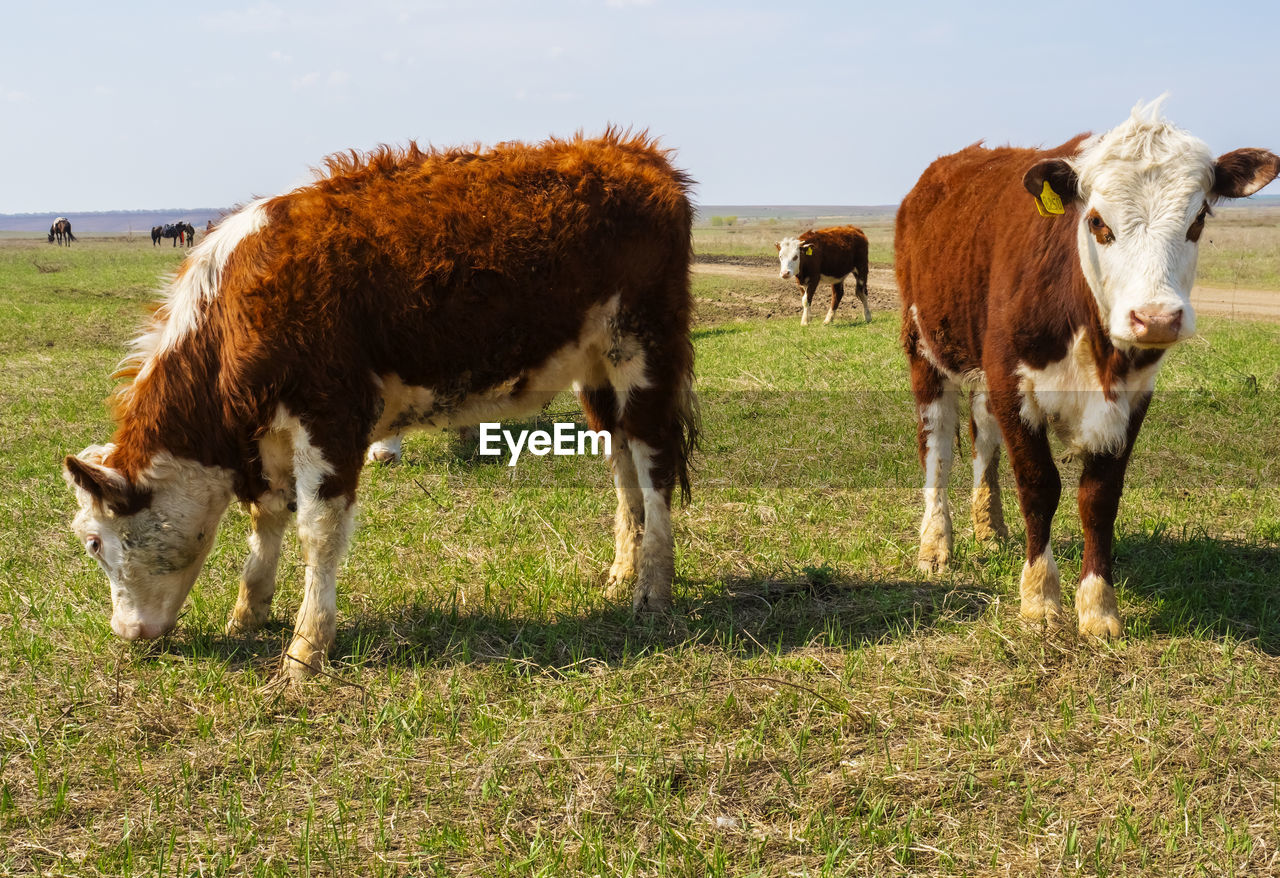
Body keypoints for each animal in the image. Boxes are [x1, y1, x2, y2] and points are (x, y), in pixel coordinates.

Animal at [62, 130, 701, 680]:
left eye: (95, 542)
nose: (126, 632)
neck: (236, 306)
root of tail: (635, 155)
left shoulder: (331, 418)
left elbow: (318, 532)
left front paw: (305, 649)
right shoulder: (268, 436)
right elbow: (265, 520)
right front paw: (248, 612)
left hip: (642, 352)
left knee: (654, 465)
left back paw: (654, 587)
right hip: (596, 373)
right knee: (623, 467)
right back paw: (623, 572)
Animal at [901, 101, 1280, 639]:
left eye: (1198, 220)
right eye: (1098, 222)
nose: (1156, 318)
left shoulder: (1131, 396)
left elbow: (1099, 498)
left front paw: (1098, 607)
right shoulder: (1012, 381)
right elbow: (1039, 486)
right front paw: (1039, 598)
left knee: (983, 438)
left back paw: (990, 527)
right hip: (925, 350)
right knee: (937, 446)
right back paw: (936, 544)